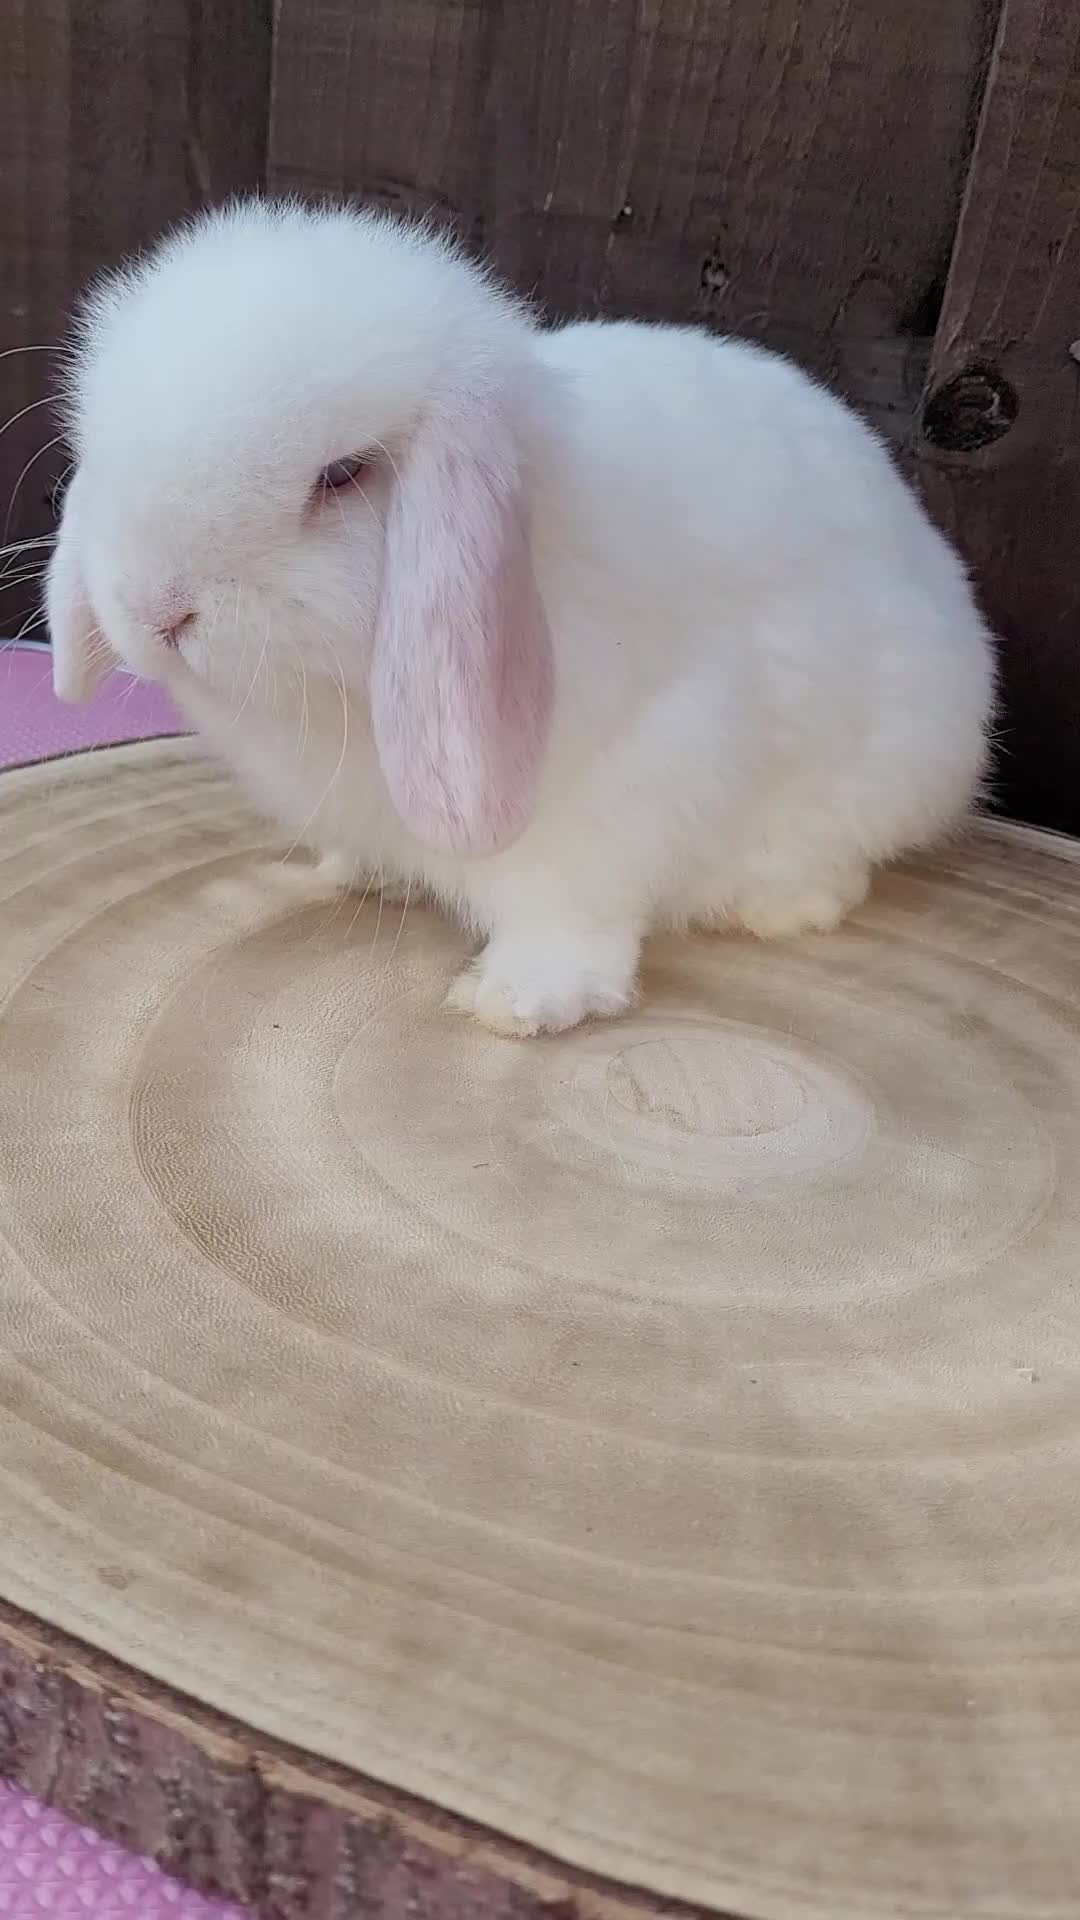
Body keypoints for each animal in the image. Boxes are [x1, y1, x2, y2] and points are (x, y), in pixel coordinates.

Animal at [47, 198, 995, 1037]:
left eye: (343, 475)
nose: (158, 610)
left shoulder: (636, 781)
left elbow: (572, 909)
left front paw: (518, 1002)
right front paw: (358, 874)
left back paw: (778, 907)